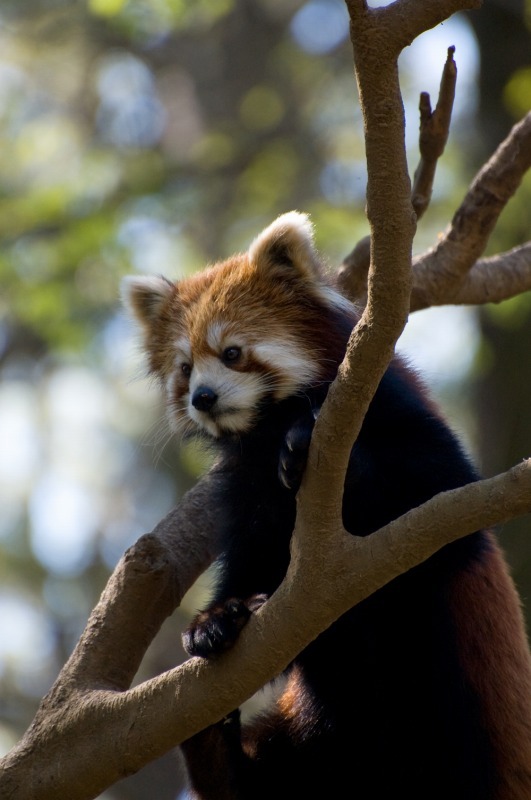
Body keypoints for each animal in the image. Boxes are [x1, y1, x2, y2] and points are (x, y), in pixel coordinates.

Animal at [122, 212, 531, 800]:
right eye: (184, 367)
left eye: (231, 352)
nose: (203, 398)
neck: (270, 426)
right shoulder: (248, 488)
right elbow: (256, 557)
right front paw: (216, 619)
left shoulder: (393, 406)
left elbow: (441, 493)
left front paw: (313, 447)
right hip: (318, 738)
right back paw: (212, 747)